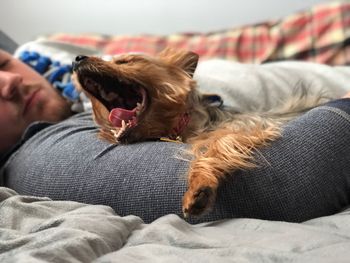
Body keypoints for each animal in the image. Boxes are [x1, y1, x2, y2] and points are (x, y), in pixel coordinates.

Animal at [72, 49, 326, 219]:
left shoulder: (241, 130)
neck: (179, 126)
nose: (77, 59)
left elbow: (214, 148)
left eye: (127, 61)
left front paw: (199, 187)